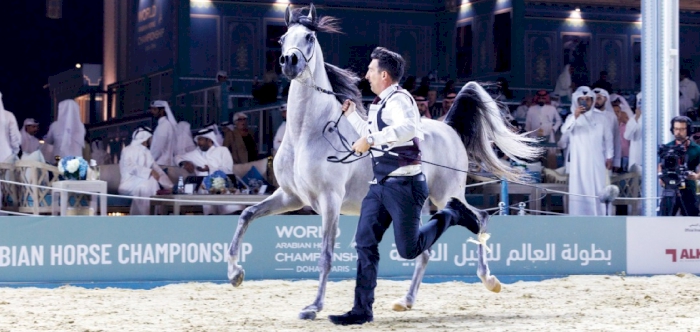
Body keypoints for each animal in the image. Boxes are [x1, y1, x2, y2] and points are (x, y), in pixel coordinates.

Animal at [230, 3, 540, 320]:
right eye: (281, 39)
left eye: (309, 37)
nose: (289, 62)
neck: (308, 133)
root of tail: (449, 127)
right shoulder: (291, 197)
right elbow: (246, 216)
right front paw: (236, 275)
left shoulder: (330, 199)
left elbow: (326, 255)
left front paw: (313, 307)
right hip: (424, 205)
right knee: (424, 248)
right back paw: (406, 300)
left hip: (447, 194)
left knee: (478, 217)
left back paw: (489, 280)